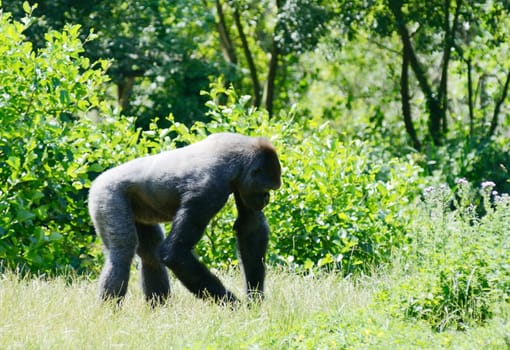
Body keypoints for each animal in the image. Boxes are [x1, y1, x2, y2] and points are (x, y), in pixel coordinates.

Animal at [87, 133, 278, 304]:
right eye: (266, 189)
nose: (266, 199)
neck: (238, 161)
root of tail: (98, 179)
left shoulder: (243, 185)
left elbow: (251, 228)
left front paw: (255, 300)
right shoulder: (209, 189)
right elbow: (176, 252)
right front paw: (233, 306)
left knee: (150, 254)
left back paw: (159, 309)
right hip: (106, 194)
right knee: (121, 253)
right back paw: (109, 311)